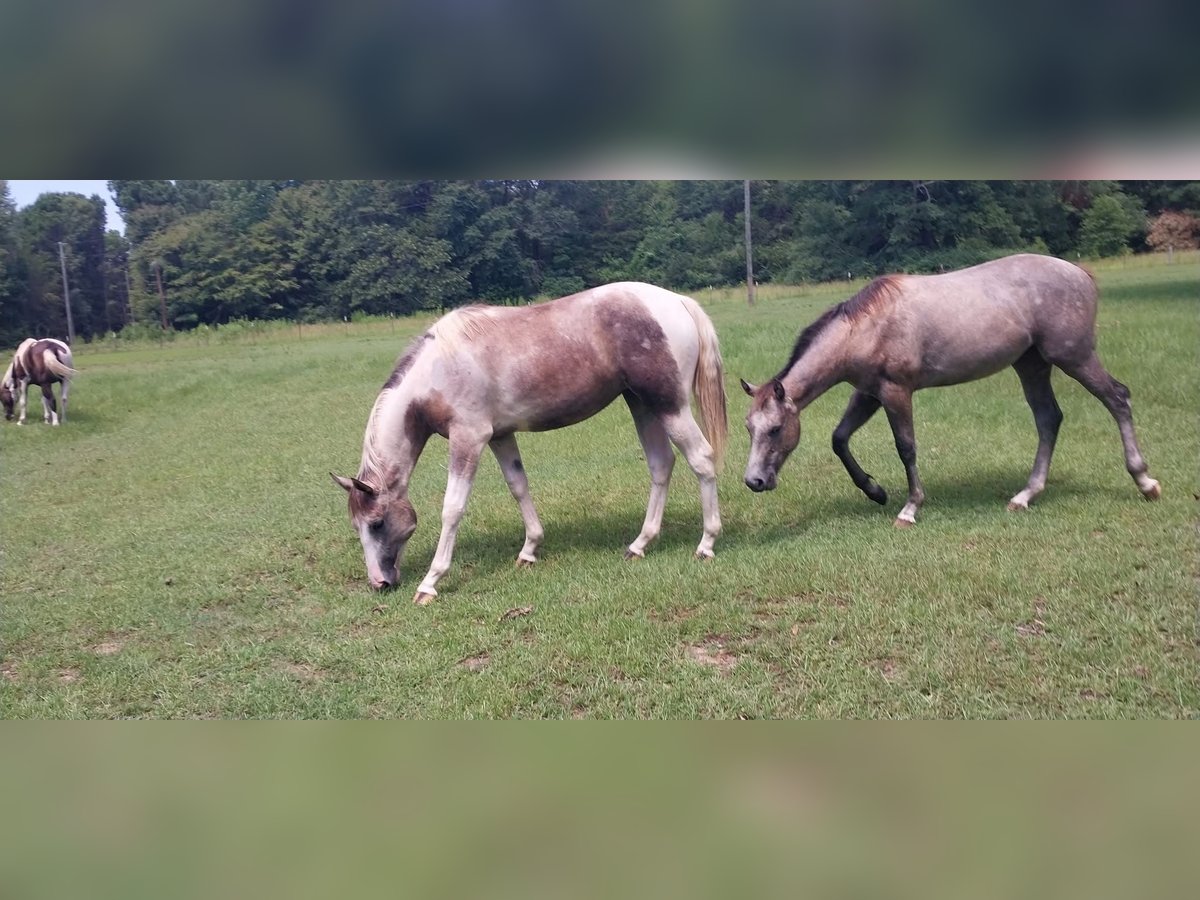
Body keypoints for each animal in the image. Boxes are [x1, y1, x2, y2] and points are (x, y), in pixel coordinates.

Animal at [331, 283, 729, 607]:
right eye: (358, 525)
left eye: (377, 523)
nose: (379, 583)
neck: (438, 369)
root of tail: (678, 301)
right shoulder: (500, 436)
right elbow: (518, 486)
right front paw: (529, 550)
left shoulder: (468, 440)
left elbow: (452, 508)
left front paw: (431, 582)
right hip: (642, 404)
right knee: (661, 464)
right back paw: (639, 545)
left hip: (670, 407)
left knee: (701, 459)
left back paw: (707, 544)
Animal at [739, 254, 1161, 528]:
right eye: (749, 428)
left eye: (775, 429)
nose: (753, 481)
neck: (868, 326)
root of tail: (1079, 272)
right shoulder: (869, 394)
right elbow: (839, 439)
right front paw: (874, 490)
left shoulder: (896, 393)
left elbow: (906, 448)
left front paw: (910, 508)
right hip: (1032, 365)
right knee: (1048, 419)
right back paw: (1025, 495)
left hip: (1074, 357)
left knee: (1117, 398)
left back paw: (1145, 482)